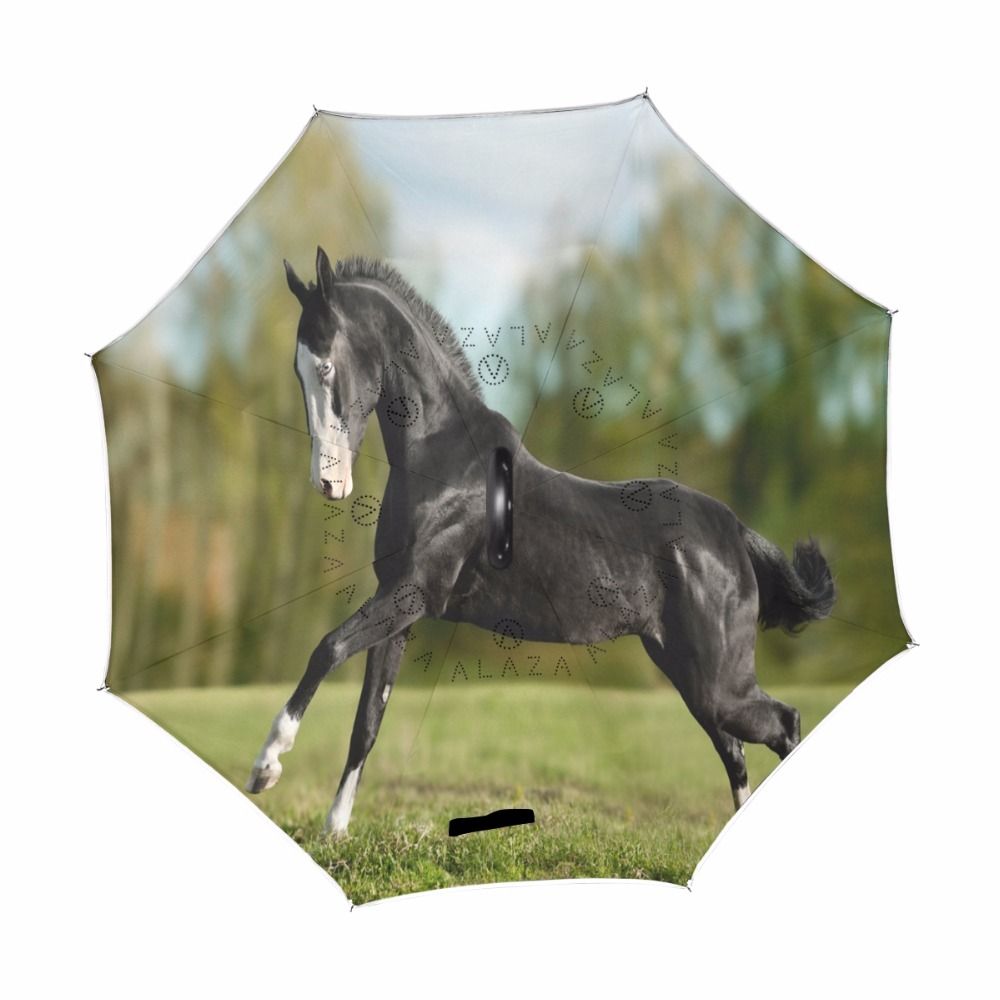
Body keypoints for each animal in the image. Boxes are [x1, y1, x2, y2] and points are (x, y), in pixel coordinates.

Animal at [246, 246, 836, 835]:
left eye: (326, 364)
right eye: (297, 369)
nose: (328, 484)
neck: (443, 458)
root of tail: (735, 531)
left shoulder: (412, 594)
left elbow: (327, 649)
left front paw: (266, 766)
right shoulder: (400, 608)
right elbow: (367, 721)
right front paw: (335, 829)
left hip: (718, 683)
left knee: (783, 723)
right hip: (689, 672)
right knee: (736, 751)